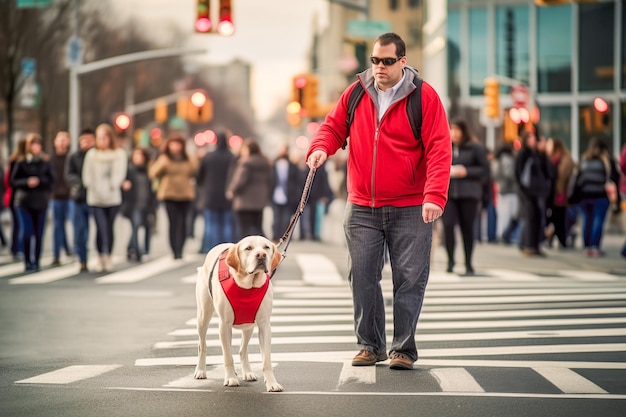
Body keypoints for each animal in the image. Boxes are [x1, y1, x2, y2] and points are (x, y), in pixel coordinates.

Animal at [194, 236, 282, 392]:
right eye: (248, 248)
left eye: (266, 247)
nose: (261, 255)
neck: (248, 286)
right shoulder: (224, 325)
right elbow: (228, 356)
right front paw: (231, 378)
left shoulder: (264, 325)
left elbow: (266, 360)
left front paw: (272, 383)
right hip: (203, 317)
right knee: (202, 345)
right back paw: (200, 370)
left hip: (248, 326)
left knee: (243, 350)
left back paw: (247, 372)